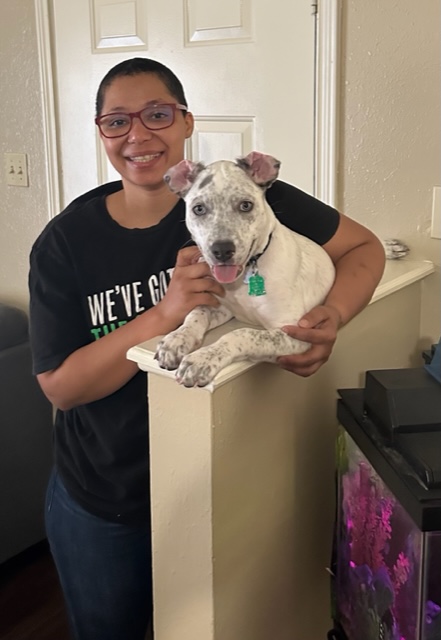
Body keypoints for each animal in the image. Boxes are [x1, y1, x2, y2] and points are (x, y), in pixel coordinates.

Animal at [155, 151, 336, 387]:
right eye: (199, 209)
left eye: (245, 205)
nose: (221, 250)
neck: (244, 279)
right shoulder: (223, 307)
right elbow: (196, 313)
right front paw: (176, 339)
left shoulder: (296, 333)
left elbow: (243, 333)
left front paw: (202, 359)